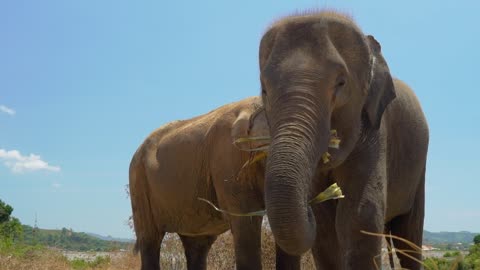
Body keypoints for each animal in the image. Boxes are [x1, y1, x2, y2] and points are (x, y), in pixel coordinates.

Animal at [256, 11, 430, 270]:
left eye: (341, 83)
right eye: (264, 90)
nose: (306, 206)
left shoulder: (374, 127)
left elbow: (360, 214)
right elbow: (325, 228)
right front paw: (321, 204)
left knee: (409, 236)